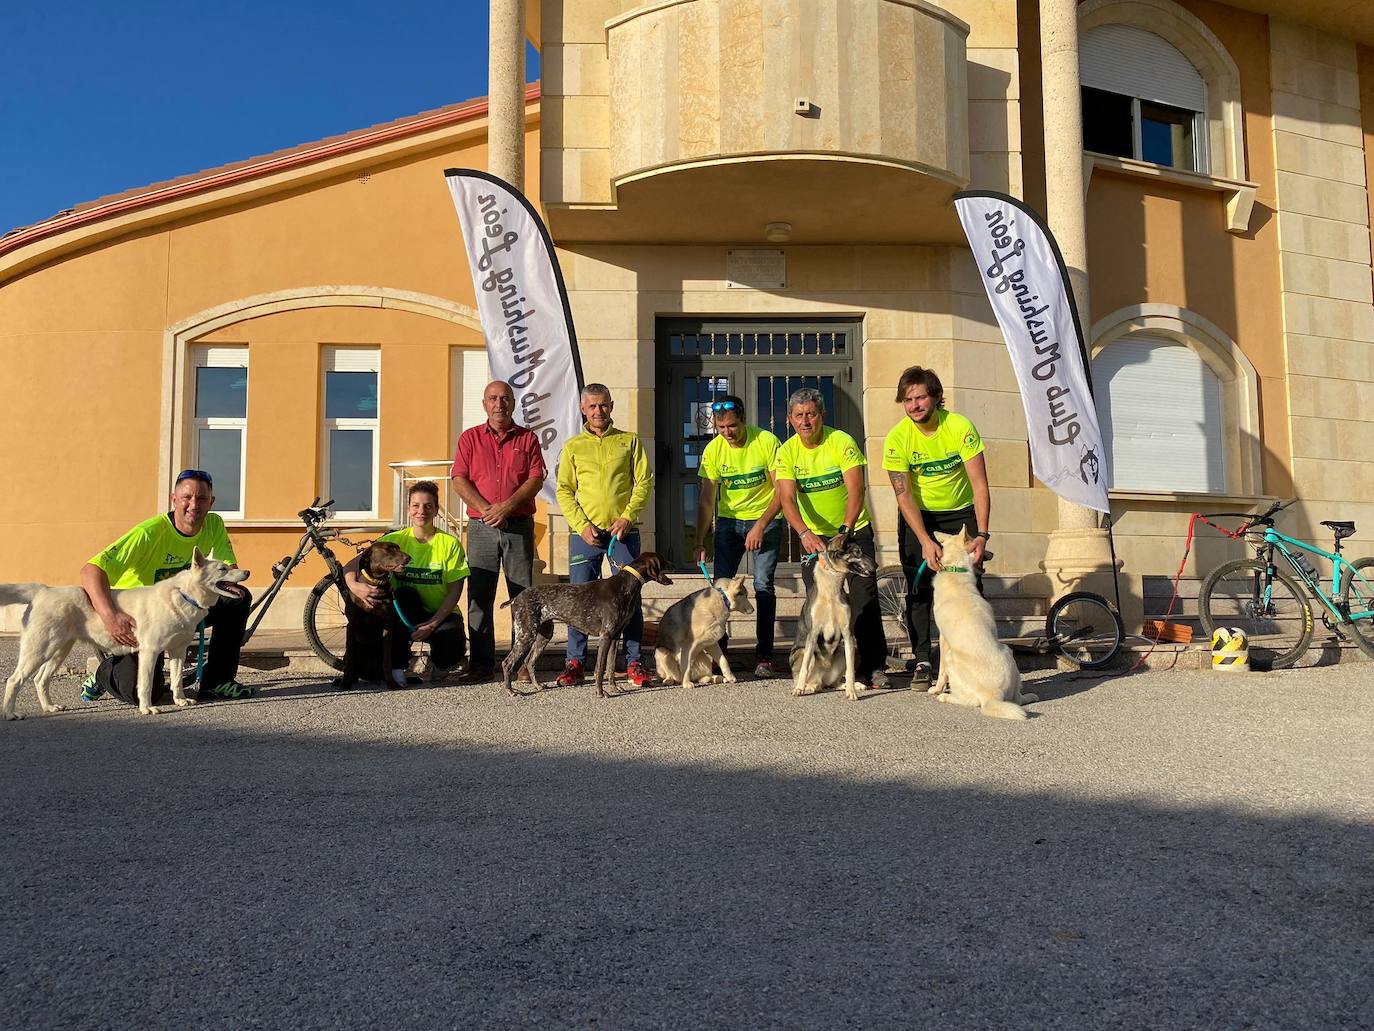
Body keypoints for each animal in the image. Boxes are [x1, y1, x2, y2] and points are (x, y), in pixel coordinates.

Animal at [331, 541, 406, 695]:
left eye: (398, 548)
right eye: (388, 549)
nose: (408, 558)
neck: (376, 583)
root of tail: (370, 676)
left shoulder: (388, 624)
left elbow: (386, 660)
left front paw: (392, 683)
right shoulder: (352, 625)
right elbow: (350, 660)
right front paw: (345, 683)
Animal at [505, 558, 676, 703]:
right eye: (664, 560)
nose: (675, 566)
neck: (625, 585)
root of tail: (516, 598)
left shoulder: (615, 637)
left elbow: (610, 667)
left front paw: (614, 688)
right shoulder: (605, 636)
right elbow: (600, 668)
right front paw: (600, 692)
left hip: (544, 635)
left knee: (529, 661)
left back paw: (537, 686)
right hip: (526, 634)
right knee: (507, 663)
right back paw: (511, 691)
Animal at [928, 527, 1033, 720]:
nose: (991, 553)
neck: (955, 568)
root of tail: (992, 695)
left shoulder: (943, 639)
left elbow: (941, 672)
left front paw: (937, 689)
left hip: (951, 658)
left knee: (969, 701)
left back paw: (945, 696)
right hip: (1008, 652)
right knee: (1017, 699)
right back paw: (1030, 696)